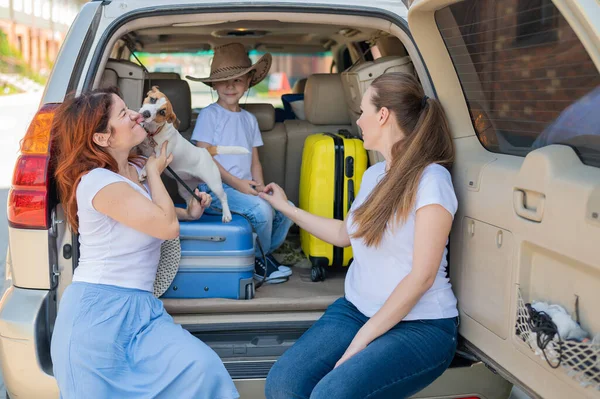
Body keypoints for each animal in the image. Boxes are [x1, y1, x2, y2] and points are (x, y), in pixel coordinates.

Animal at [138, 86, 248, 223]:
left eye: (162, 112)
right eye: (153, 99)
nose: (146, 113)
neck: (154, 132)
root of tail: (205, 151)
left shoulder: (161, 155)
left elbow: (149, 161)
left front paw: (143, 172)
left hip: (214, 184)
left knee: (224, 197)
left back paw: (226, 214)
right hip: (184, 190)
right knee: (190, 200)